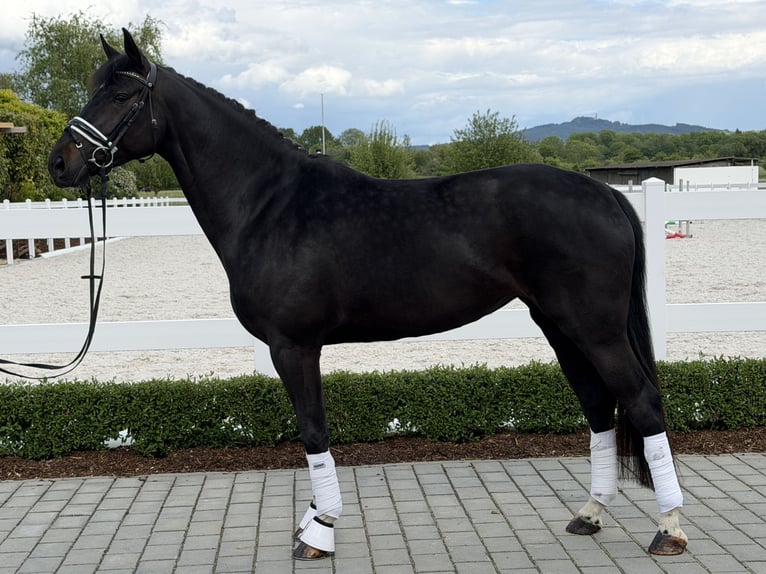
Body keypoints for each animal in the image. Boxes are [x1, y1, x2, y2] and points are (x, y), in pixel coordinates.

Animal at [49, 29, 687, 560]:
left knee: (641, 402)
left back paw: (669, 529)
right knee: (600, 408)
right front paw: (314, 520)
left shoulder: (294, 347)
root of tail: (606, 193)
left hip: (595, 328)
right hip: (560, 326)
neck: (271, 205)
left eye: (119, 95)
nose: (60, 162)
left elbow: (313, 432)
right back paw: (590, 514)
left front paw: (318, 531)